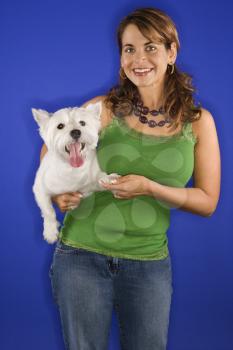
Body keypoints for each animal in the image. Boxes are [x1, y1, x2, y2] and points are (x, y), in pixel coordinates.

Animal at [32, 101, 119, 243]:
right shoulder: (39, 188)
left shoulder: (90, 185)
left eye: (82, 123)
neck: (72, 169)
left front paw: (109, 178)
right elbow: (48, 211)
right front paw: (50, 232)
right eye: (60, 126)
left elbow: (100, 178)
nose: (76, 132)